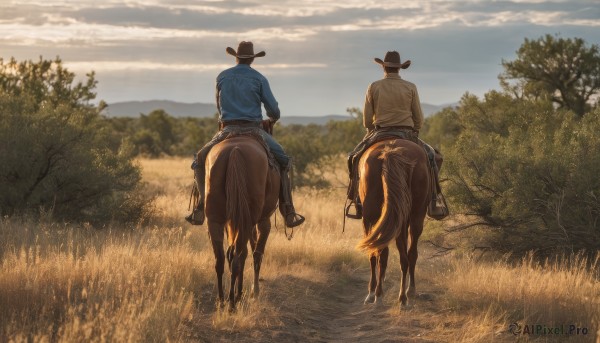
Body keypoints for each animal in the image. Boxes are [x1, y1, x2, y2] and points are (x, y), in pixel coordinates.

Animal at [205, 136, 280, 310]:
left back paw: (222, 299)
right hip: (247, 221)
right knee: (238, 257)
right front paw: (253, 292)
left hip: (216, 220)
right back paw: (232, 302)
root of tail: (235, 151)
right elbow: (257, 253)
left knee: (222, 258)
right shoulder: (263, 222)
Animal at [356, 138, 432, 308]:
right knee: (407, 255)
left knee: (380, 252)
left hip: (371, 215)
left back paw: (378, 294)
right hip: (412, 216)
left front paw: (373, 291)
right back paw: (405, 295)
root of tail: (390, 152)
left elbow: (376, 254)